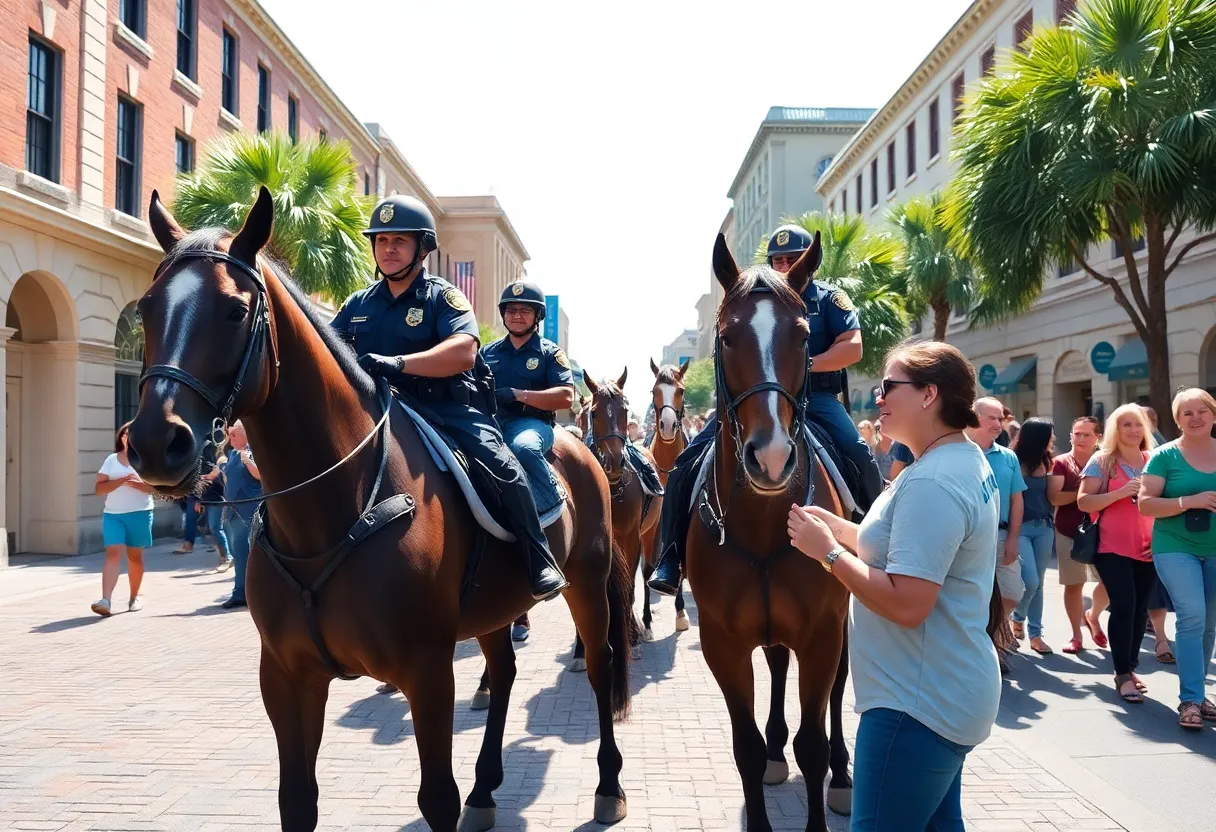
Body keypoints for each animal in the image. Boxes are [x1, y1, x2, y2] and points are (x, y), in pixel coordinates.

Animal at [127, 189, 632, 832]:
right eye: (147, 309)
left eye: (235, 312)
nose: (152, 442)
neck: (329, 511)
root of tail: (583, 448)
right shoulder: (286, 677)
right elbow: (297, 801)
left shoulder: (427, 671)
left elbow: (436, 798)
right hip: (496, 606)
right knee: (504, 674)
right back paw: (486, 789)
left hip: (587, 583)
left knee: (600, 665)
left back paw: (608, 784)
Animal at [690, 233, 851, 832]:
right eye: (726, 336)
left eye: (803, 334)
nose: (773, 455)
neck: (762, 524)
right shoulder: (722, 644)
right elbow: (747, 748)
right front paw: (769, 758)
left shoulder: (823, 634)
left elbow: (814, 745)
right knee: (778, 666)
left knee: (836, 696)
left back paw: (845, 777)